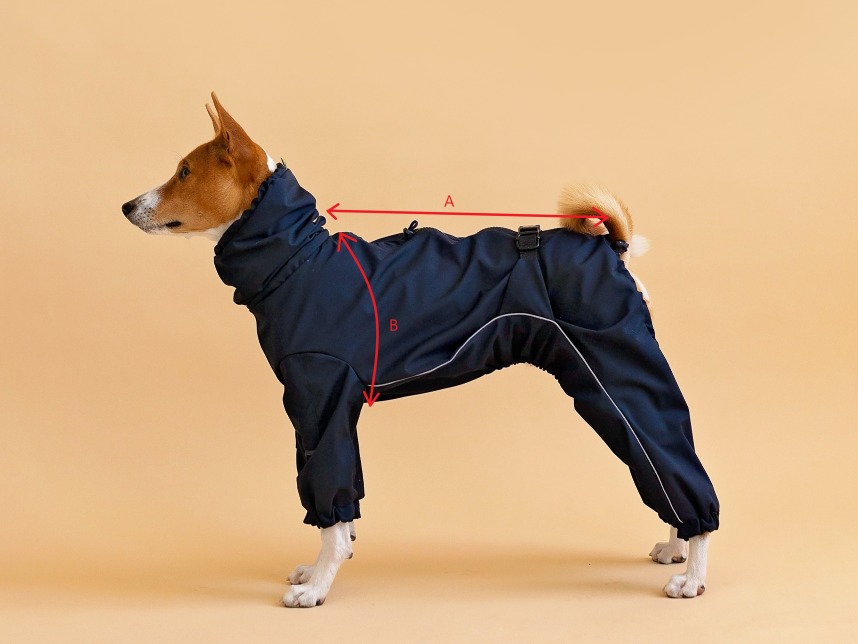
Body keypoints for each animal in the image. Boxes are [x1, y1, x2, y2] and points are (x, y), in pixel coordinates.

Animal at [122, 93, 716, 608]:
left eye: (184, 172)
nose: (127, 205)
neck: (298, 261)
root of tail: (612, 246)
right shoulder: (325, 410)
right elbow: (343, 514)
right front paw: (320, 567)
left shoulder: (321, 403)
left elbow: (330, 506)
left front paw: (317, 587)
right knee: (659, 463)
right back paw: (674, 545)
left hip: (614, 370)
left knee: (676, 467)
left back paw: (693, 570)